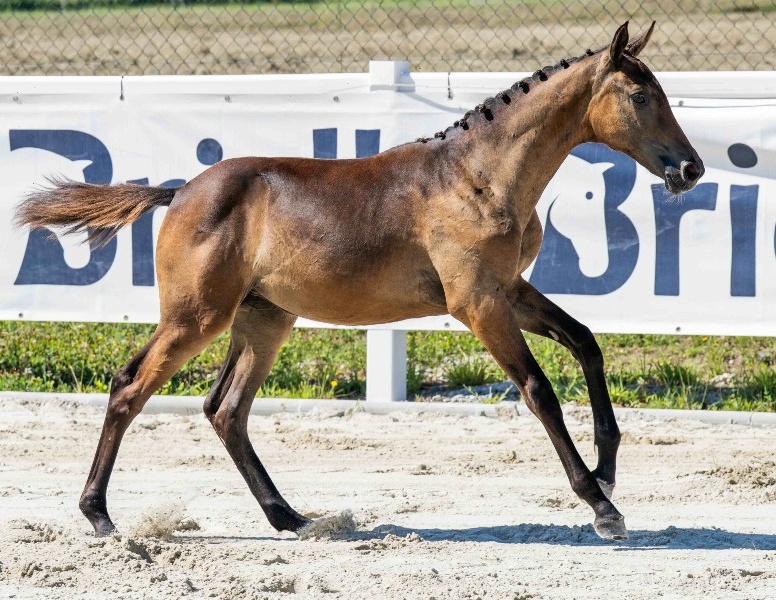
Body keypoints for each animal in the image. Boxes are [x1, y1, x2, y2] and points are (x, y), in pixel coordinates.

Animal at [15, 21, 703, 542]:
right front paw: (601, 505)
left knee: (226, 409)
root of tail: (180, 191)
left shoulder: (509, 291)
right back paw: (99, 515)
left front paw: (608, 468)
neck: (478, 176)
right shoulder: (478, 305)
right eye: (641, 97)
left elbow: (587, 342)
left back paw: (289, 517)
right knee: (131, 387)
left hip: (263, 317)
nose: (691, 168)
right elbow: (538, 390)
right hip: (196, 317)